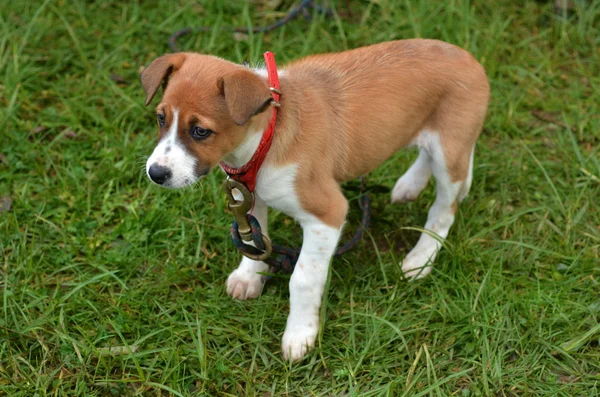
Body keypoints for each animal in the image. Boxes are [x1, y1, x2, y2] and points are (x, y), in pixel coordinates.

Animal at [143, 39, 490, 358]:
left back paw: (421, 258)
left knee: (444, 209)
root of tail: (468, 56)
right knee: (425, 156)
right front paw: (249, 277)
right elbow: (254, 241)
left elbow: (303, 279)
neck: (268, 136)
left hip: (449, 152)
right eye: (161, 119)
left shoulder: (328, 214)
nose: (155, 173)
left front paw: (299, 334)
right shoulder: (250, 196)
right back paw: (409, 185)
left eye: (201, 131)